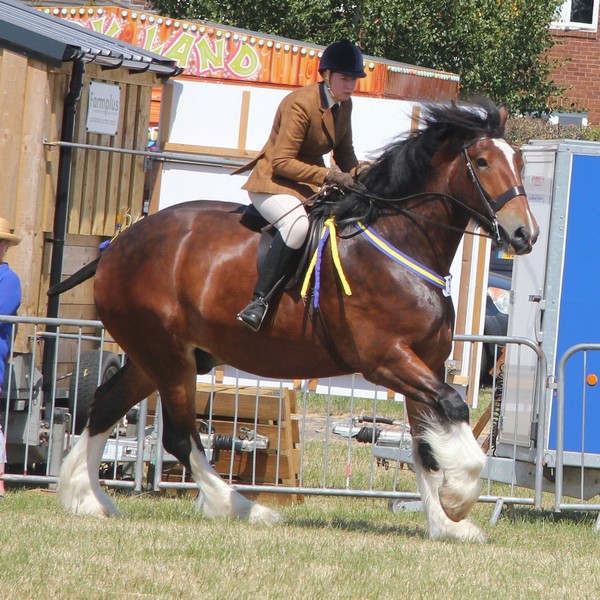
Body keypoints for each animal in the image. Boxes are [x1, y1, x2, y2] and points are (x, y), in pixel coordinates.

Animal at [57, 97, 540, 540]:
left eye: (518, 161)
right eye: (482, 161)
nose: (525, 234)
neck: (402, 241)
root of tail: (119, 245)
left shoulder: (428, 363)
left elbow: (425, 445)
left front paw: (446, 524)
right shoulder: (386, 360)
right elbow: (454, 408)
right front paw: (458, 500)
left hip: (152, 356)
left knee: (104, 406)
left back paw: (87, 499)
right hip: (170, 357)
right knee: (179, 435)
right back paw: (242, 508)